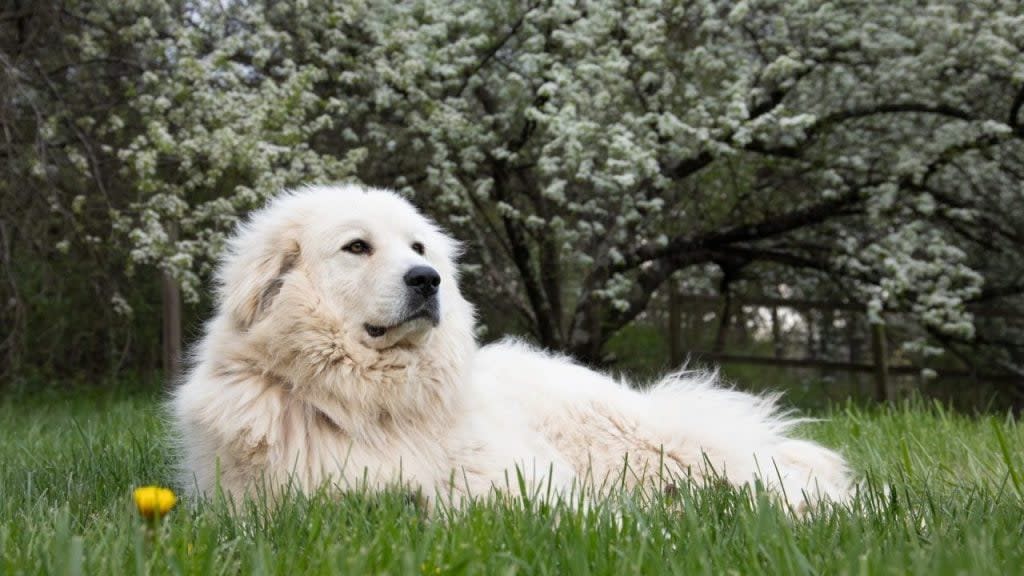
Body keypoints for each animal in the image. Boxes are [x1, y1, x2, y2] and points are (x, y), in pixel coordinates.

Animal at [172, 182, 851, 506]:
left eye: (418, 247)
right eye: (356, 247)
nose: (428, 280)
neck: (372, 404)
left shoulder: (521, 484)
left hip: (656, 449)